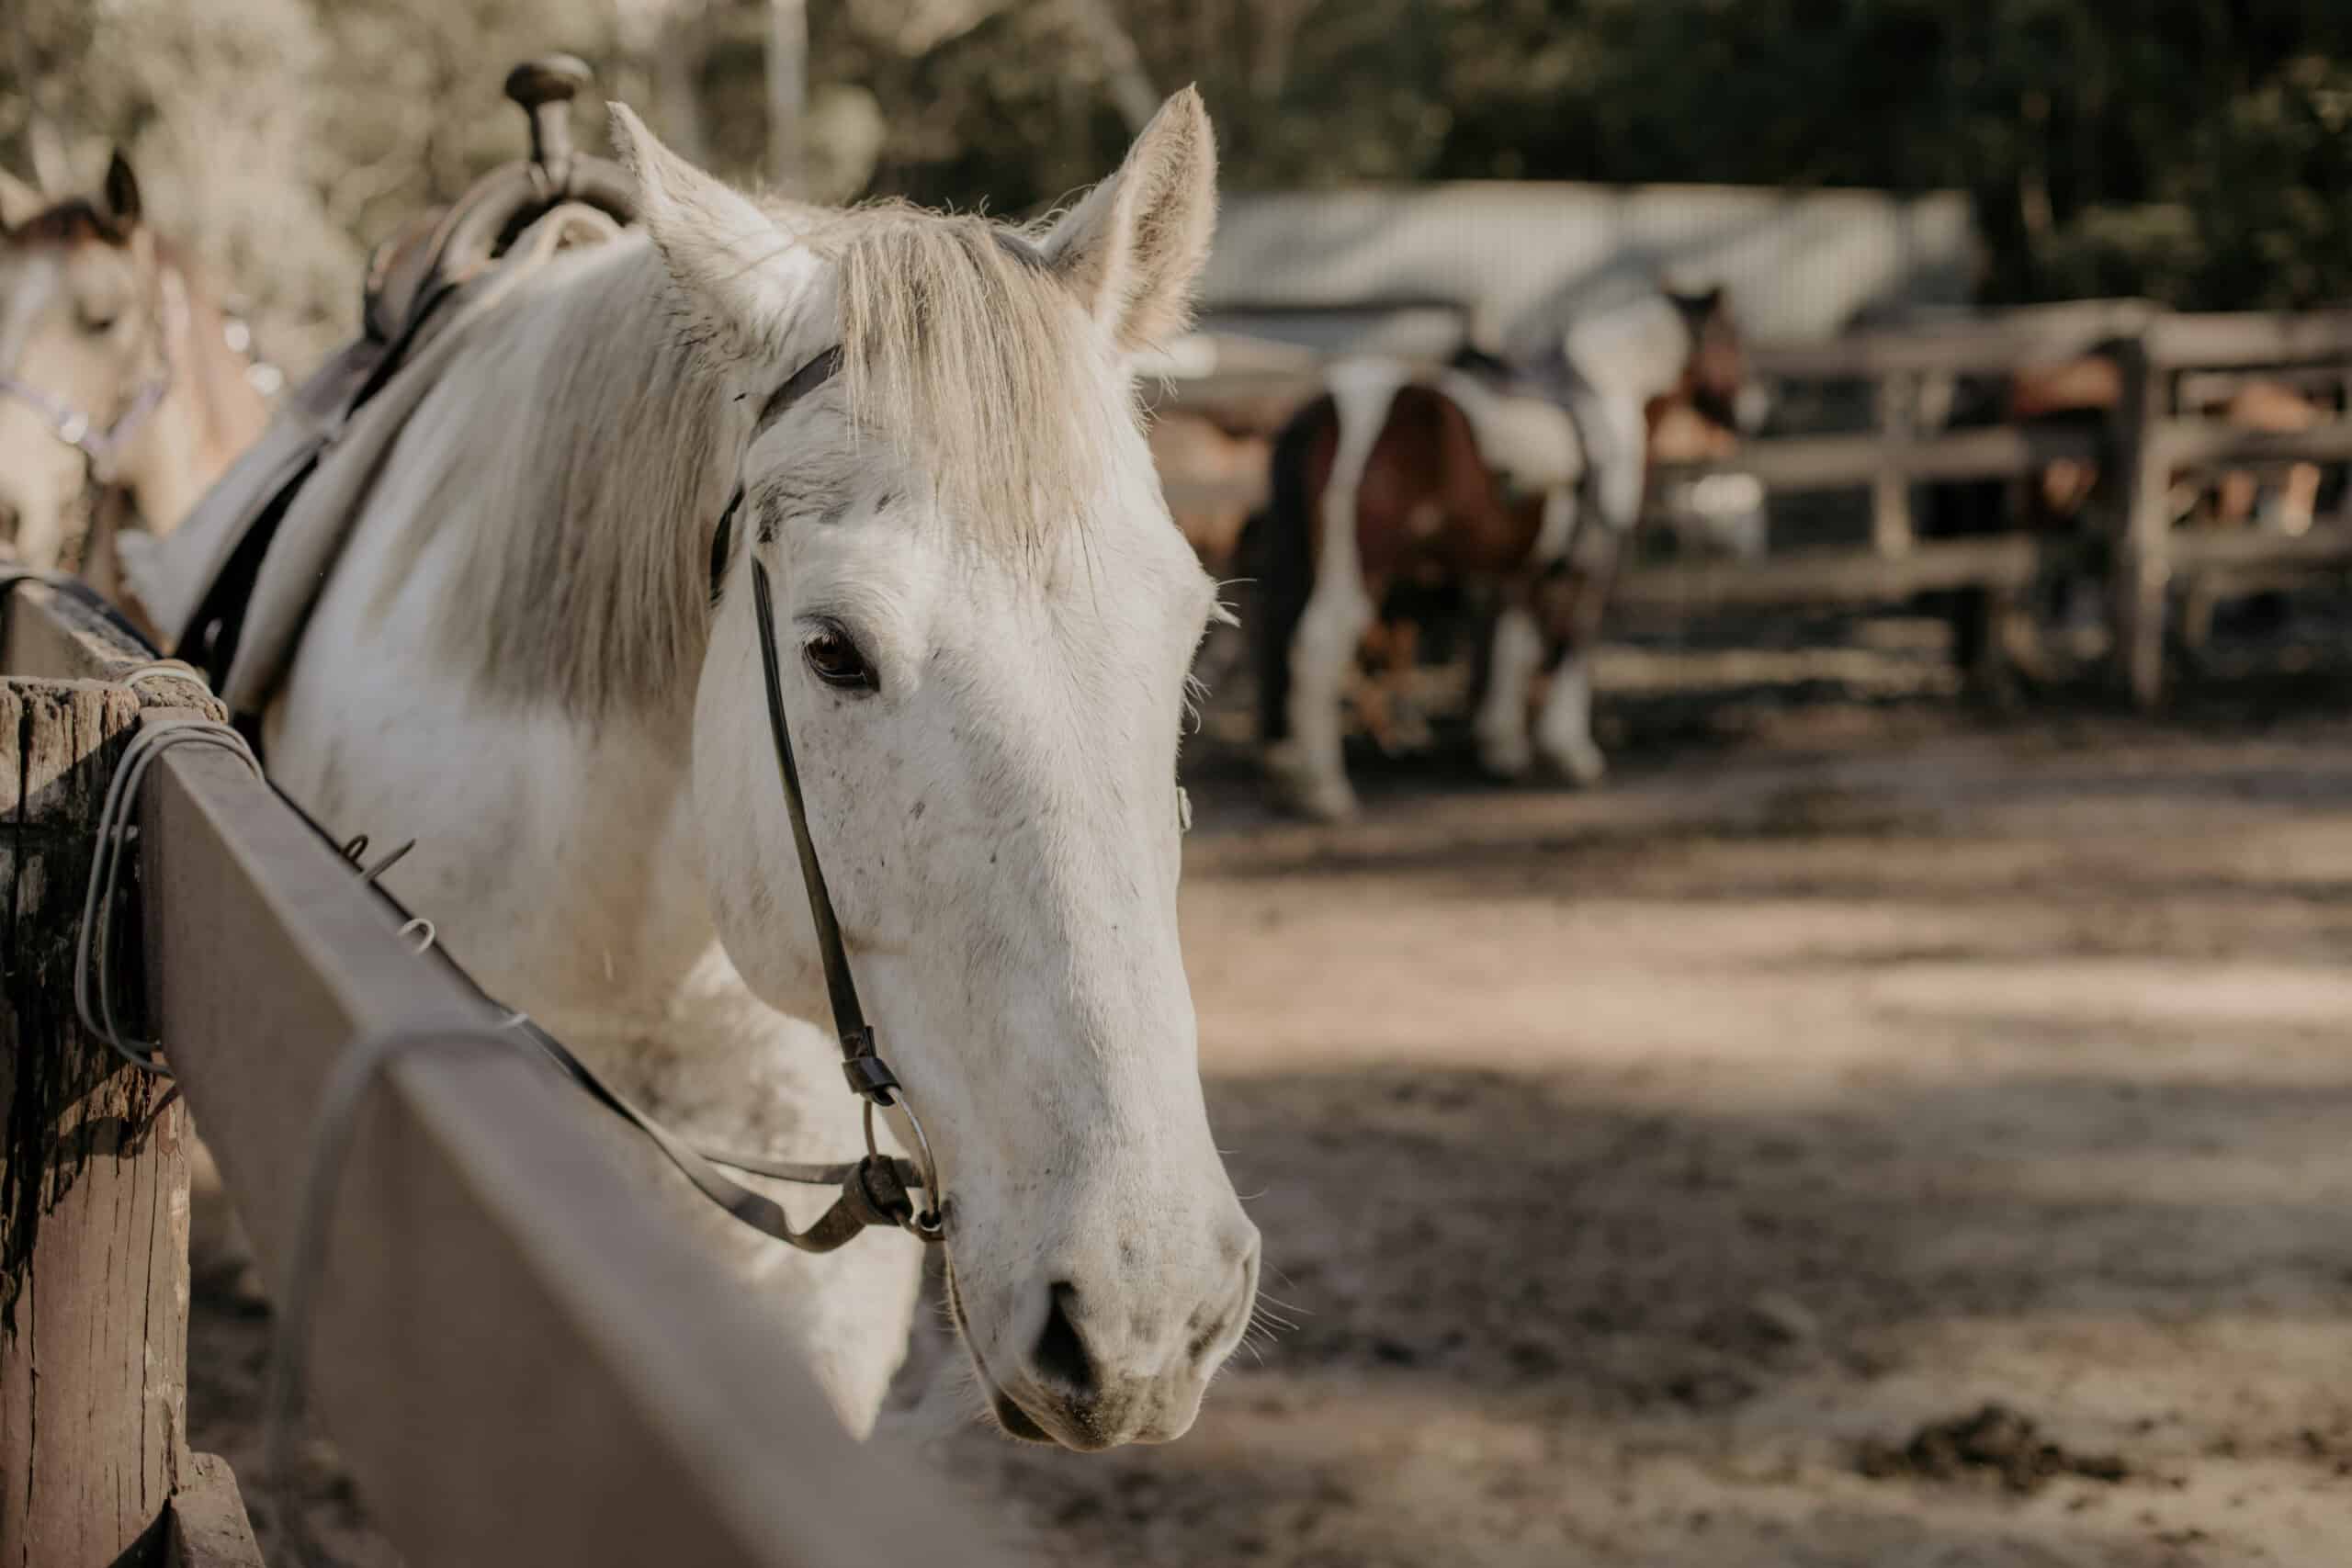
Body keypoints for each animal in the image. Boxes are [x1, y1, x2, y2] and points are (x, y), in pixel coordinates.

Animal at [1250, 285, 1749, 822]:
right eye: (1731, 338)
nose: (1754, 409)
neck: (1612, 398)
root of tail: (1324, 409)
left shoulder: (1522, 571)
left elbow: (1512, 648)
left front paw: (1502, 750)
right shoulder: (1592, 565)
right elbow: (1572, 644)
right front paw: (1572, 754)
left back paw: (1289, 768)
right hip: (1359, 570)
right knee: (1316, 649)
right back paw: (1325, 789)